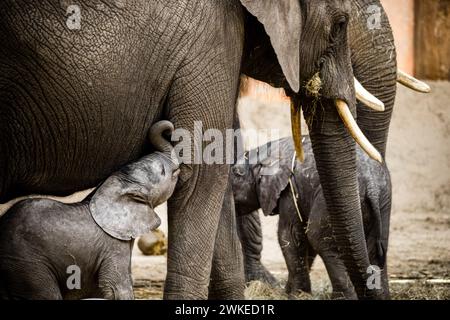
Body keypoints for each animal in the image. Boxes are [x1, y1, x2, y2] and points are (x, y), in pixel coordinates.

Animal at [0, 121, 179, 298]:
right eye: (163, 171)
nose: (169, 128)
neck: (114, 186)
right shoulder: (112, 245)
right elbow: (118, 287)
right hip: (28, 264)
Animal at [232, 136, 390, 298]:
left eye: (236, 173)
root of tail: (371, 185)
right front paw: (290, 292)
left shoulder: (290, 188)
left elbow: (289, 235)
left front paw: (295, 295)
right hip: (383, 201)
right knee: (376, 248)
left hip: (328, 202)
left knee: (318, 238)